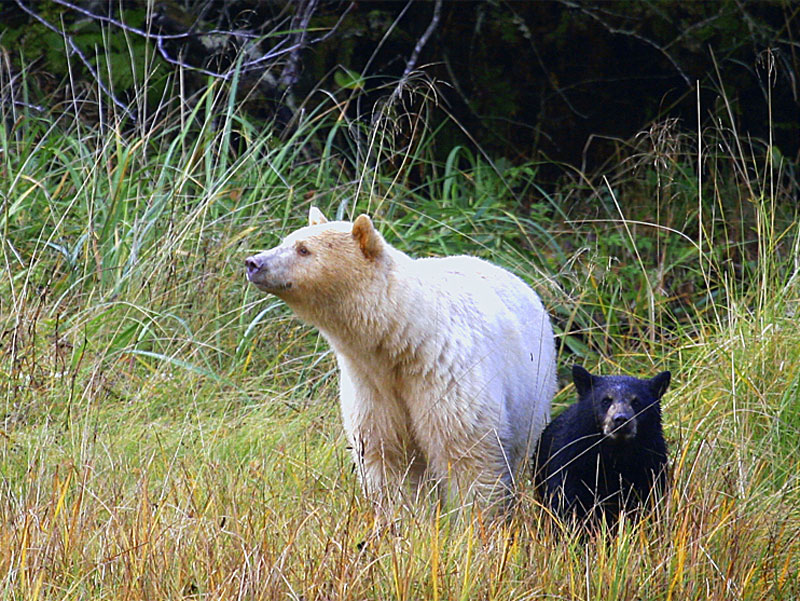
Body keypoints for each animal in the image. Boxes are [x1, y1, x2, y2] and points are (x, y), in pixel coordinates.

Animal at [245, 206, 556, 506]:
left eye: (303, 249)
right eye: (285, 240)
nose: (253, 262)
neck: (403, 338)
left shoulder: (446, 377)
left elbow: (468, 455)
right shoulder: (370, 386)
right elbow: (386, 457)